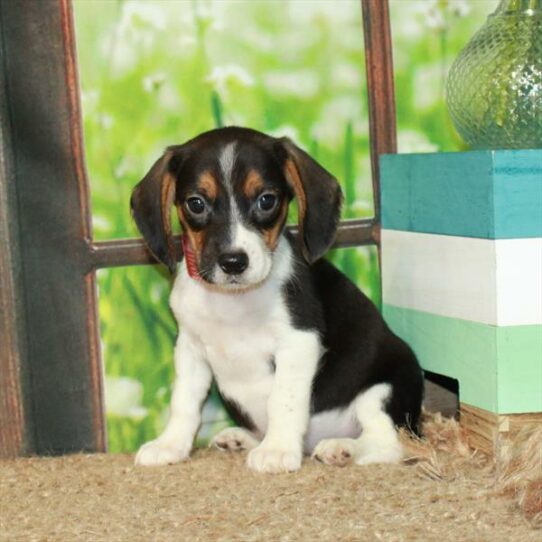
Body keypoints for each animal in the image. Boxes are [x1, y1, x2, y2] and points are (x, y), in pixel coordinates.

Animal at [131, 125, 424, 474]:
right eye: (196, 203)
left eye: (266, 200)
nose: (233, 262)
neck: (233, 301)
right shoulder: (190, 348)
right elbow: (184, 403)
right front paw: (170, 445)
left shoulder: (298, 341)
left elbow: (283, 400)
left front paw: (278, 449)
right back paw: (241, 438)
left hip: (382, 391)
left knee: (389, 443)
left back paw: (342, 448)